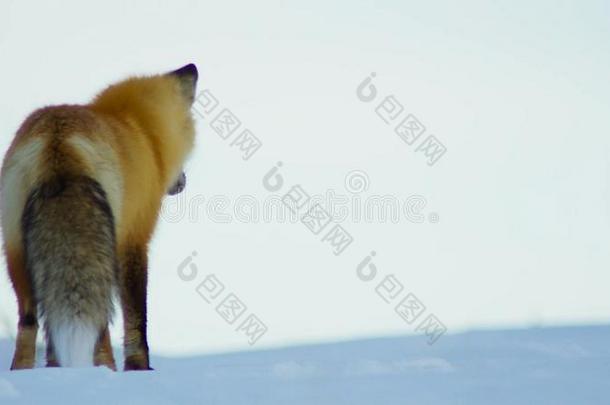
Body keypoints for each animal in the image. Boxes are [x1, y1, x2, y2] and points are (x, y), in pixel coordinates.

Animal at [0, 62, 198, 370]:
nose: (182, 182)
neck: (140, 132)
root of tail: (58, 141)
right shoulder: (133, 239)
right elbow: (136, 319)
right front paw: (139, 369)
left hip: (17, 253)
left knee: (30, 323)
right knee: (100, 323)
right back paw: (104, 370)